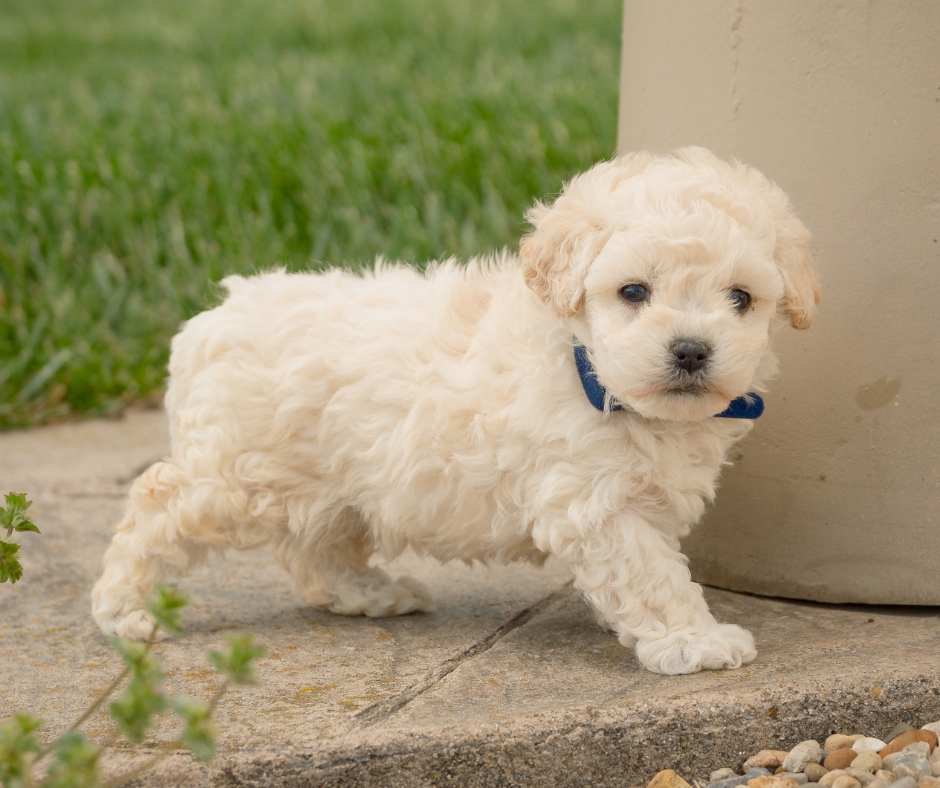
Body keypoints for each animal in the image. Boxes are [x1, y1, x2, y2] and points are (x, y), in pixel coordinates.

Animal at [92, 149, 820, 676]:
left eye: (741, 298)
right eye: (634, 292)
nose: (692, 350)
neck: (587, 367)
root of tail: (216, 314)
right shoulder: (597, 506)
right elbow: (652, 575)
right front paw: (697, 642)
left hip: (336, 483)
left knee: (316, 548)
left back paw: (368, 594)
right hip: (239, 479)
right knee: (158, 504)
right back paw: (124, 610)